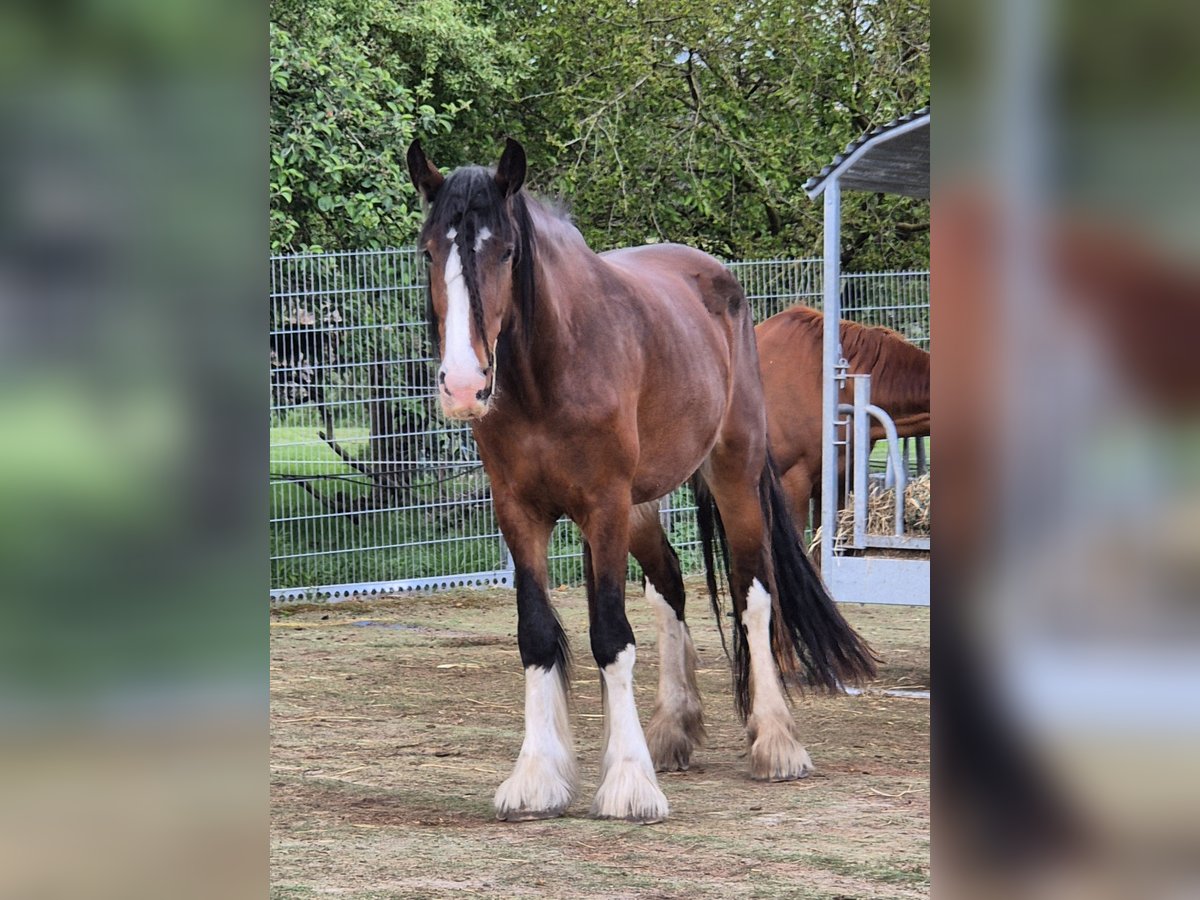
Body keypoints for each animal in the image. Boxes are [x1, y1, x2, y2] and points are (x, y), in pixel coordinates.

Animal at [407, 138, 876, 824]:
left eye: (508, 251)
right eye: (428, 250)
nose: (464, 386)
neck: (551, 369)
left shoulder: (602, 506)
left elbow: (610, 636)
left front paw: (629, 782)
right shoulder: (519, 511)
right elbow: (537, 634)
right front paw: (539, 775)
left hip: (731, 476)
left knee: (753, 592)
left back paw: (775, 743)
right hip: (641, 507)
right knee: (670, 587)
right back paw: (673, 729)